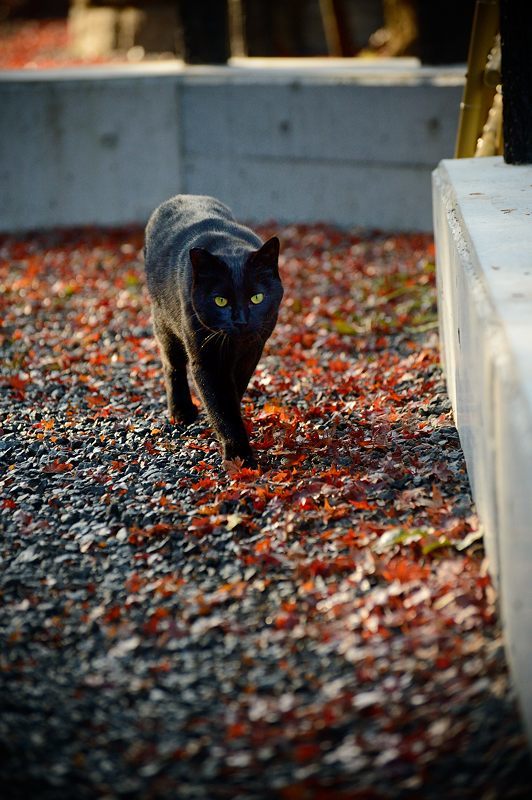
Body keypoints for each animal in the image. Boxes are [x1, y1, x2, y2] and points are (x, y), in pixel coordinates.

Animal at [141, 195, 282, 468]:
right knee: (172, 366)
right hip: (164, 322)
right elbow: (221, 403)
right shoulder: (207, 360)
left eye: (257, 298)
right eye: (220, 301)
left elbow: (233, 391)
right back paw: (181, 412)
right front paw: (239, 456)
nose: (240, 320)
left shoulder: (252, 351)